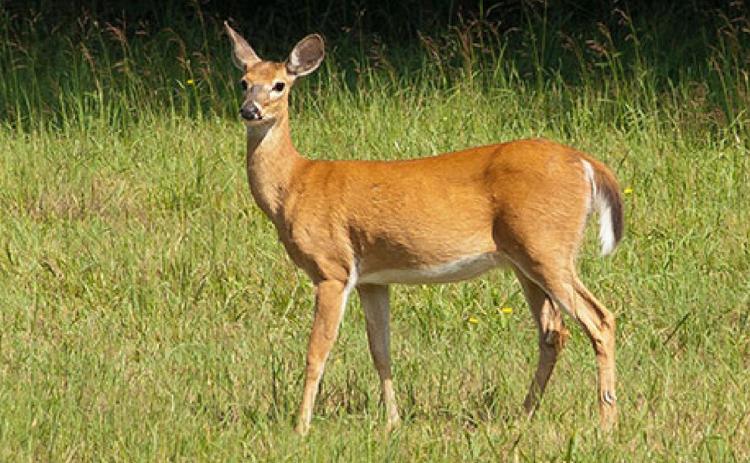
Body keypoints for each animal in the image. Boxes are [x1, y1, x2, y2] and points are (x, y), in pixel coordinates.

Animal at [224, 22, 624, 436]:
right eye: (243, 81)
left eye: (279, 85)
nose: (249, 110)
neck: (294, 184)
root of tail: (586, 163)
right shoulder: (372, 278)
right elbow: (380, 351)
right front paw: (393, 422)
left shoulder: (331, 268)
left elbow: (317, 351)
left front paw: (300, 427)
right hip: (524, 259)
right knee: (552, 331)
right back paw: (524, 414)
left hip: (547, 246)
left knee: (600, 319)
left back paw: (606, 423)